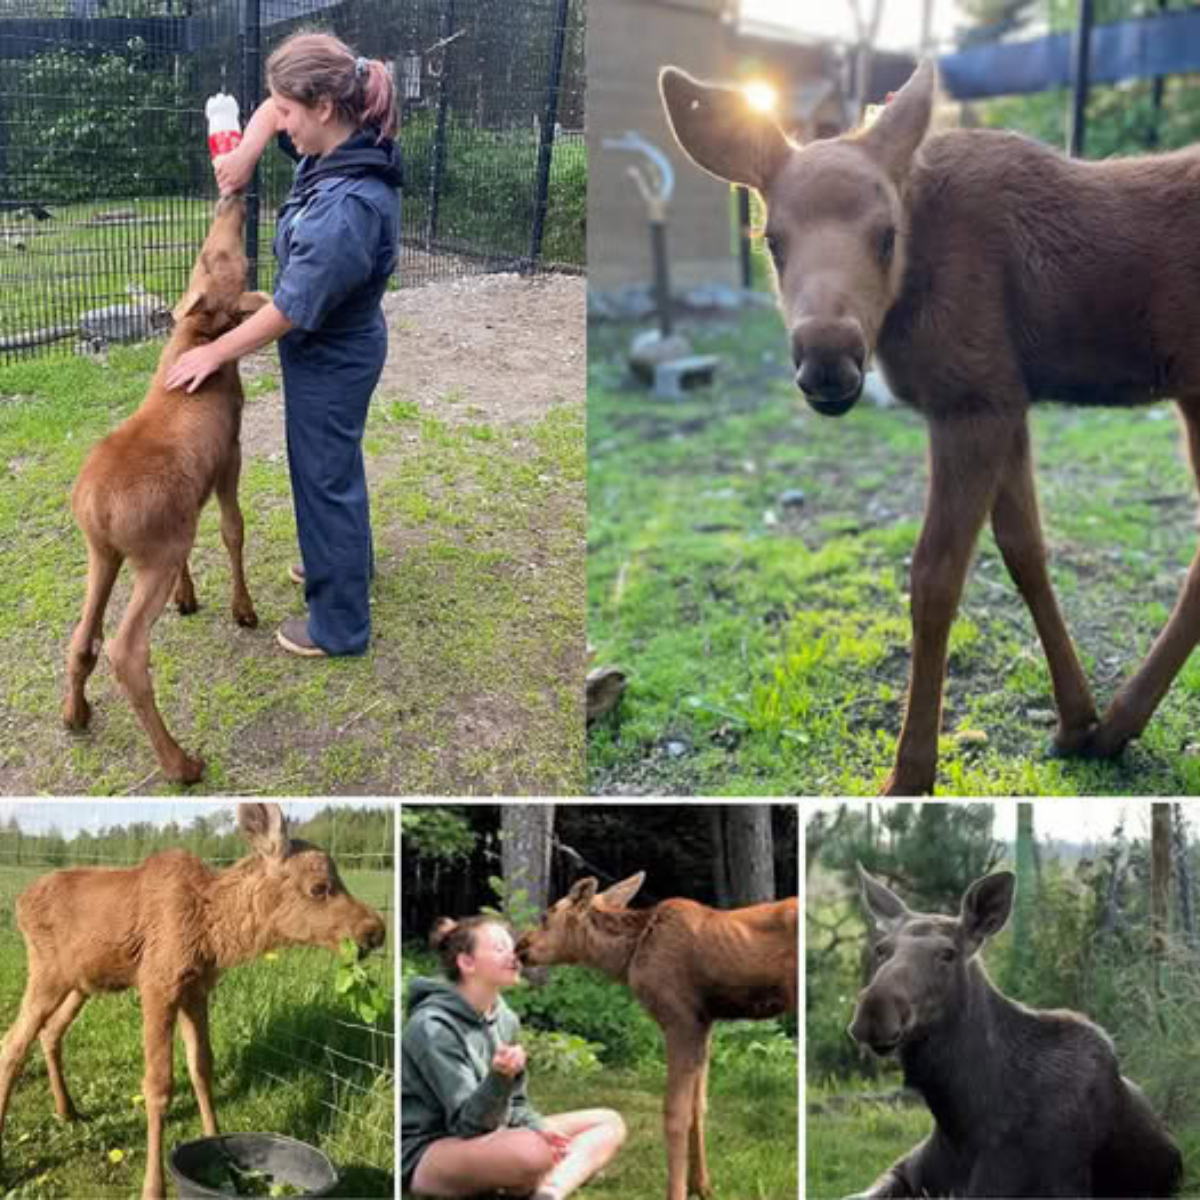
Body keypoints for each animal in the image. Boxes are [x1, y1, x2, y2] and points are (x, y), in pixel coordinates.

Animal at [0, 801, 386, 1200]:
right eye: (319, 887)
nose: (375, 930)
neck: (213, 933)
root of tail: (20, 901)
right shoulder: (157, 985)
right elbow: (158, 1087)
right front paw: (153, 1187)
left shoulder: (196, 992)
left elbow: (202, 1067)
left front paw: (217, 1144)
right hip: (47, 973)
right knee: (12, 1043)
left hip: (81, 983)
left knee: (49, 1033)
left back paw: (68, 1111)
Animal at [61, 192, 270, 782]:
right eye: (228, 258)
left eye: (204, 254)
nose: (233, 198)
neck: (196, 343)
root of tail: (96, 509)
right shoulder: (230, 455)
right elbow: (232, 529)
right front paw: (242, 609)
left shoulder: (184, 514)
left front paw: (189, 596)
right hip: (149, 554)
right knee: (126, 650)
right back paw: (181, 763)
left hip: (103, 552)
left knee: (82, 638)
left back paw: (75, 713)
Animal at [516, 873, 796, 1200]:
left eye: (546, 916)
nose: (520, 946)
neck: (626, 958)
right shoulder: (704, 1022)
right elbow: (698, 1107)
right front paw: (702, 1187)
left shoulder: (681, 1020)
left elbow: (675, 1113)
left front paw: (677, 1191)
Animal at [662, 58, 1200, 796]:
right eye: (773, 242)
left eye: (886, 235)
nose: (827, 358)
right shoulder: (1004, 400)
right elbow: (1025, 551)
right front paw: (1074, 719)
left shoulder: (968, 402)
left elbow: (935, 578)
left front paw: (911, 771)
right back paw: (1115, 723)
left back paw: (1123, 721)